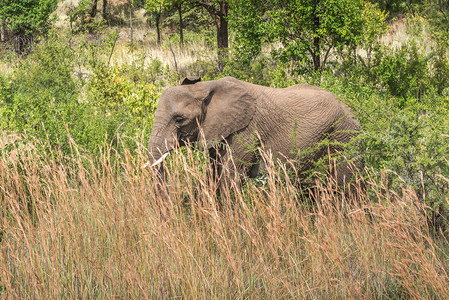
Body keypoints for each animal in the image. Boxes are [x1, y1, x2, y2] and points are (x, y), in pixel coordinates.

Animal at [147, 75, 360, 185]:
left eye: (179, 120)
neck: (205, 87)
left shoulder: (246, 132)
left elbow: (230, 177)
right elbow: (215, 172)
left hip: (344, 136)